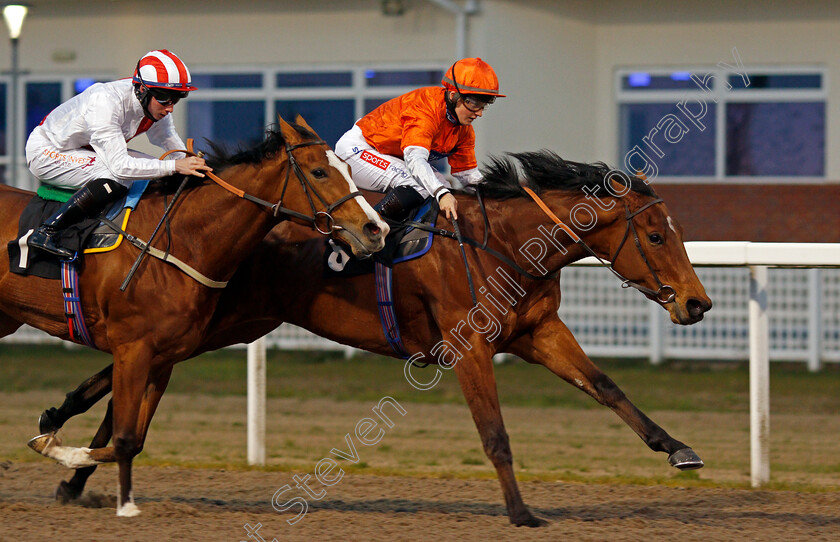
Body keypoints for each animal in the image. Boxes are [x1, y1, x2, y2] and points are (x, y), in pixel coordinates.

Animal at [0, 116, 388, 520]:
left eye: (349, 170)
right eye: (319, 172)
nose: (376, 229)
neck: (182, 241)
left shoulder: (163, 358)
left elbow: (132, 439)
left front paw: (55, 444)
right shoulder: (132, 349)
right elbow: (123, 435)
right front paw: (124, 505)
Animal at [31, 150, 708, 528]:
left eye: (674, 232)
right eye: (654, 236)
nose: (696, 303)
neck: (504, 244)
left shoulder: (539, 331)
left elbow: (606, 387)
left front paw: (678, 448)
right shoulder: (469, 346)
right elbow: (495, 433)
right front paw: (521, 512)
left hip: (217, 322)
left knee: (128, 375)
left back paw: (70, 461)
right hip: (212, 320)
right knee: (129, 370)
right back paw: (68, 445)